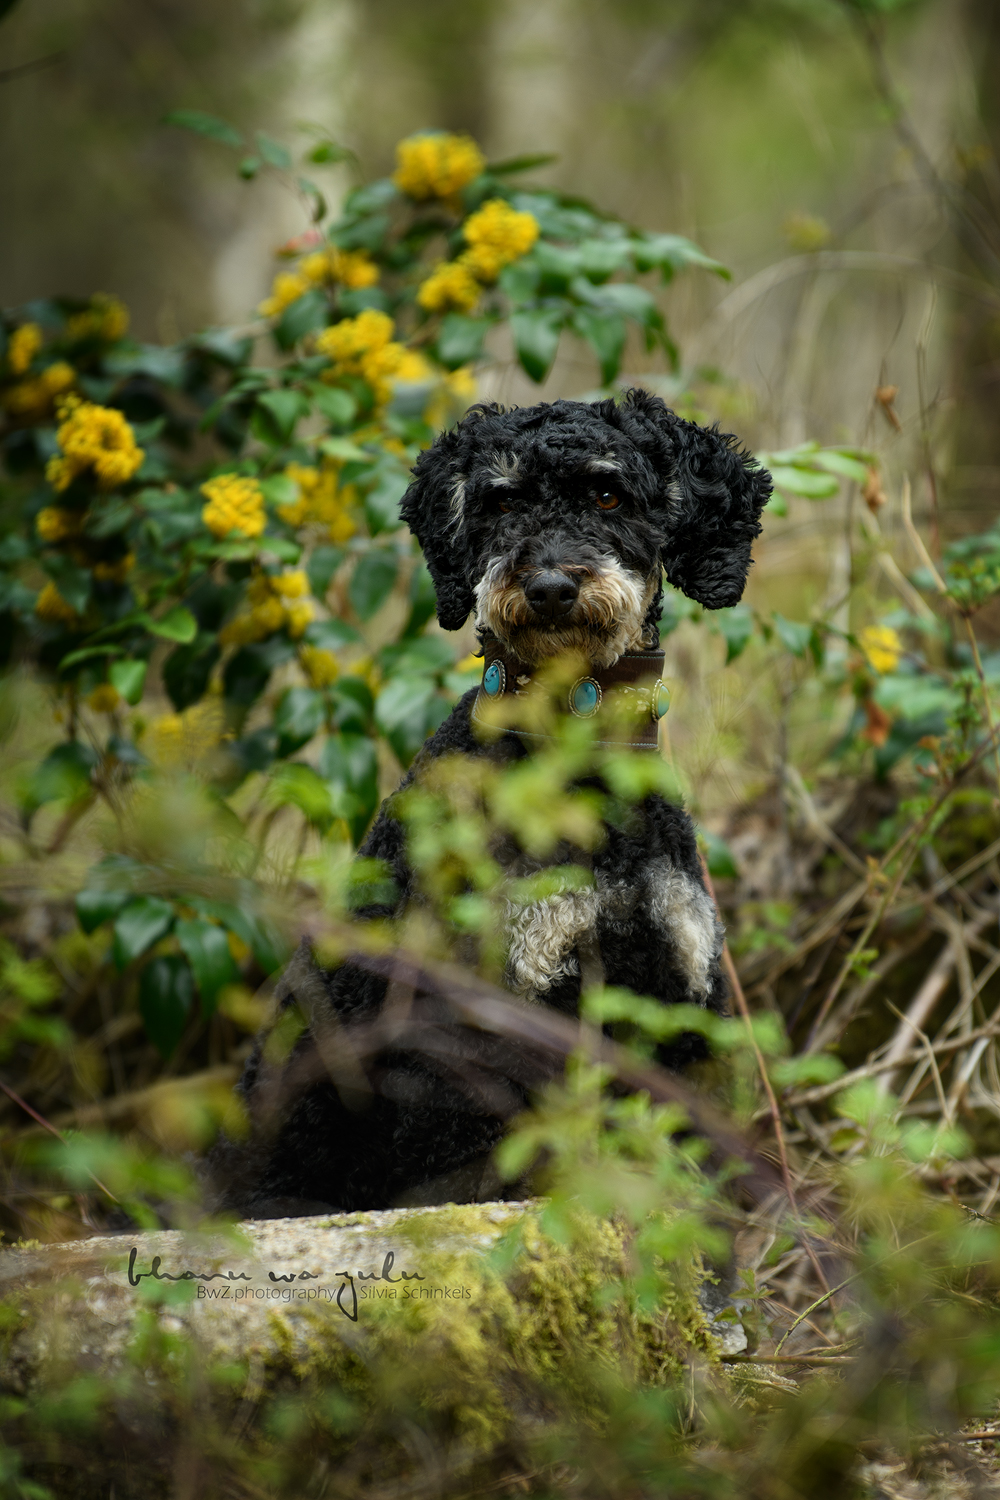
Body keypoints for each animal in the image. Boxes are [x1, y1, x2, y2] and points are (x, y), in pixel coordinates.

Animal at [211, 390, 773, 1218]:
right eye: (500, 501)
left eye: (607, 493)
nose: (548, 588)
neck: (573, 764)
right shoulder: (490, 1034)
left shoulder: (680, 996)